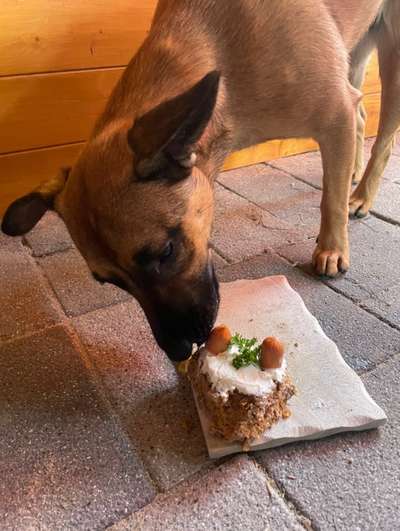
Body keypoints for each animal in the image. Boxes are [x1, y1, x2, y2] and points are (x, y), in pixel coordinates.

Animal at [1, 0, 398, 362]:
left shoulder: (335, 114)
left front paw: (333, 247)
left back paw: (360, 196)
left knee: (382, 136)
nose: (177, 351)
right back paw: (351, 175)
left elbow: (330, 200)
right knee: (362, 119)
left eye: (165, 252)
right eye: (110, 281)